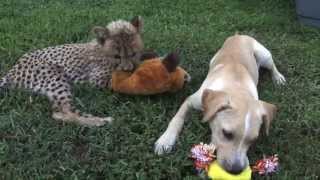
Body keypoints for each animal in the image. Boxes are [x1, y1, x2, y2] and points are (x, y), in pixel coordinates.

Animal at [154, 34, 284, 174]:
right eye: (227, 134)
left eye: (253, 140)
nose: (236, 170)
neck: (236, 87)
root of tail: (240, 35)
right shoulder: (190, 101)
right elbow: (177, 119)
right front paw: (166, 140)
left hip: (264, 55)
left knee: (272, 65)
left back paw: (278, 77)